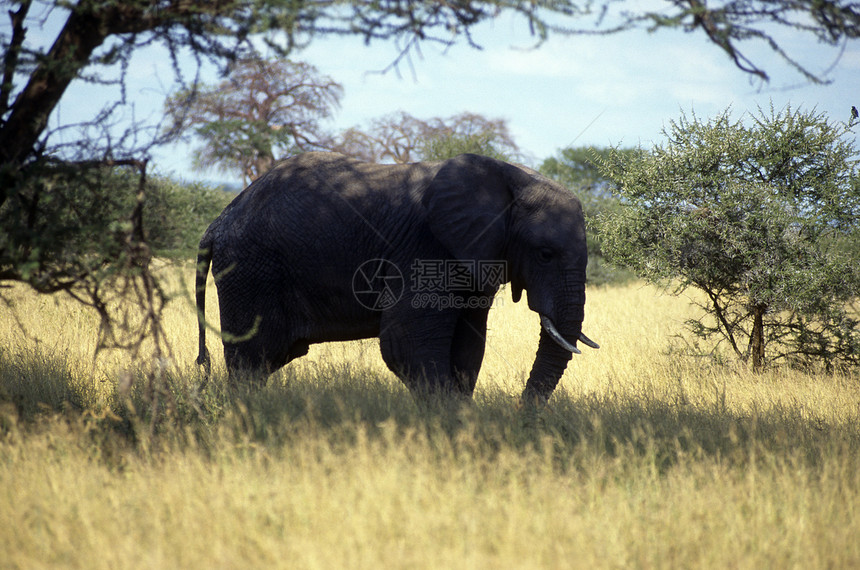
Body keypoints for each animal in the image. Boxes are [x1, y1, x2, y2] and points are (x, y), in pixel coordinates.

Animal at [195, 149, 596, 402]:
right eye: (544, 254)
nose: (519, 413)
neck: (511, 176)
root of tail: (218, 221)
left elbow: (469, 345)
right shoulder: (425, 246)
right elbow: (407, 344)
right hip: (251, 270)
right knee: (252, 360)